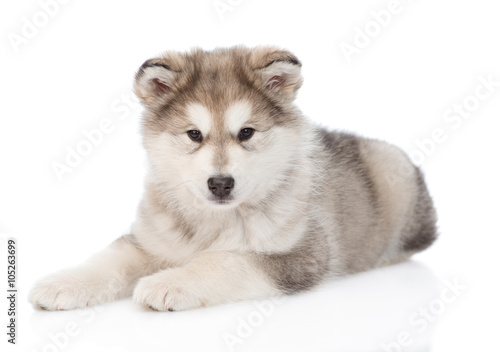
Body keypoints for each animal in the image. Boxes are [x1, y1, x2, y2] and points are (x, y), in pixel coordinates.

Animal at [31, 46, 438, 310]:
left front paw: (169, 282)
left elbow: (224, 261)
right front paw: (63, 282)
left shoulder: (299, 255)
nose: (220, 183)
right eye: (194, 134)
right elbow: (110, 259)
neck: (214, 221)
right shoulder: (148, 240)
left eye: (246, 133)